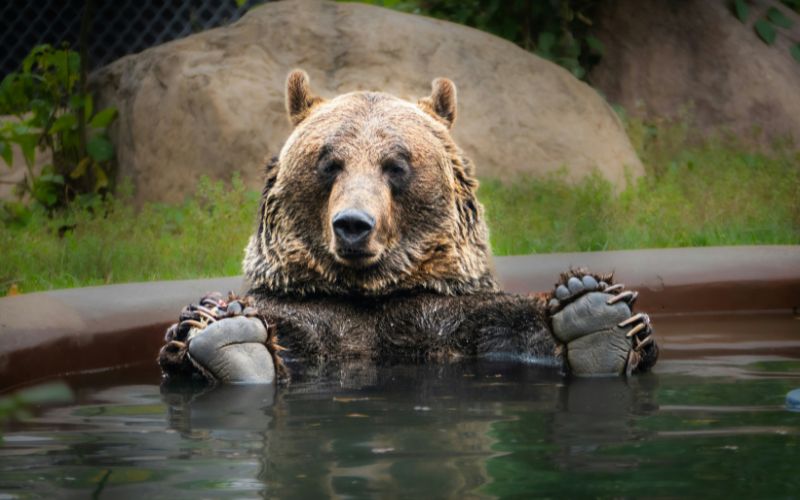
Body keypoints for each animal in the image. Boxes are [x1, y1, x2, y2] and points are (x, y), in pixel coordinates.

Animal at [159, 69, 660, 382]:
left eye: (395, 165)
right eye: (329, 163)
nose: (353, 225)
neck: (368, 294)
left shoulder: (447, 314)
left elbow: (513, 323)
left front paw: (594, 309)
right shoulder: (303, 309)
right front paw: (218, 323)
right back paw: (229, 340)